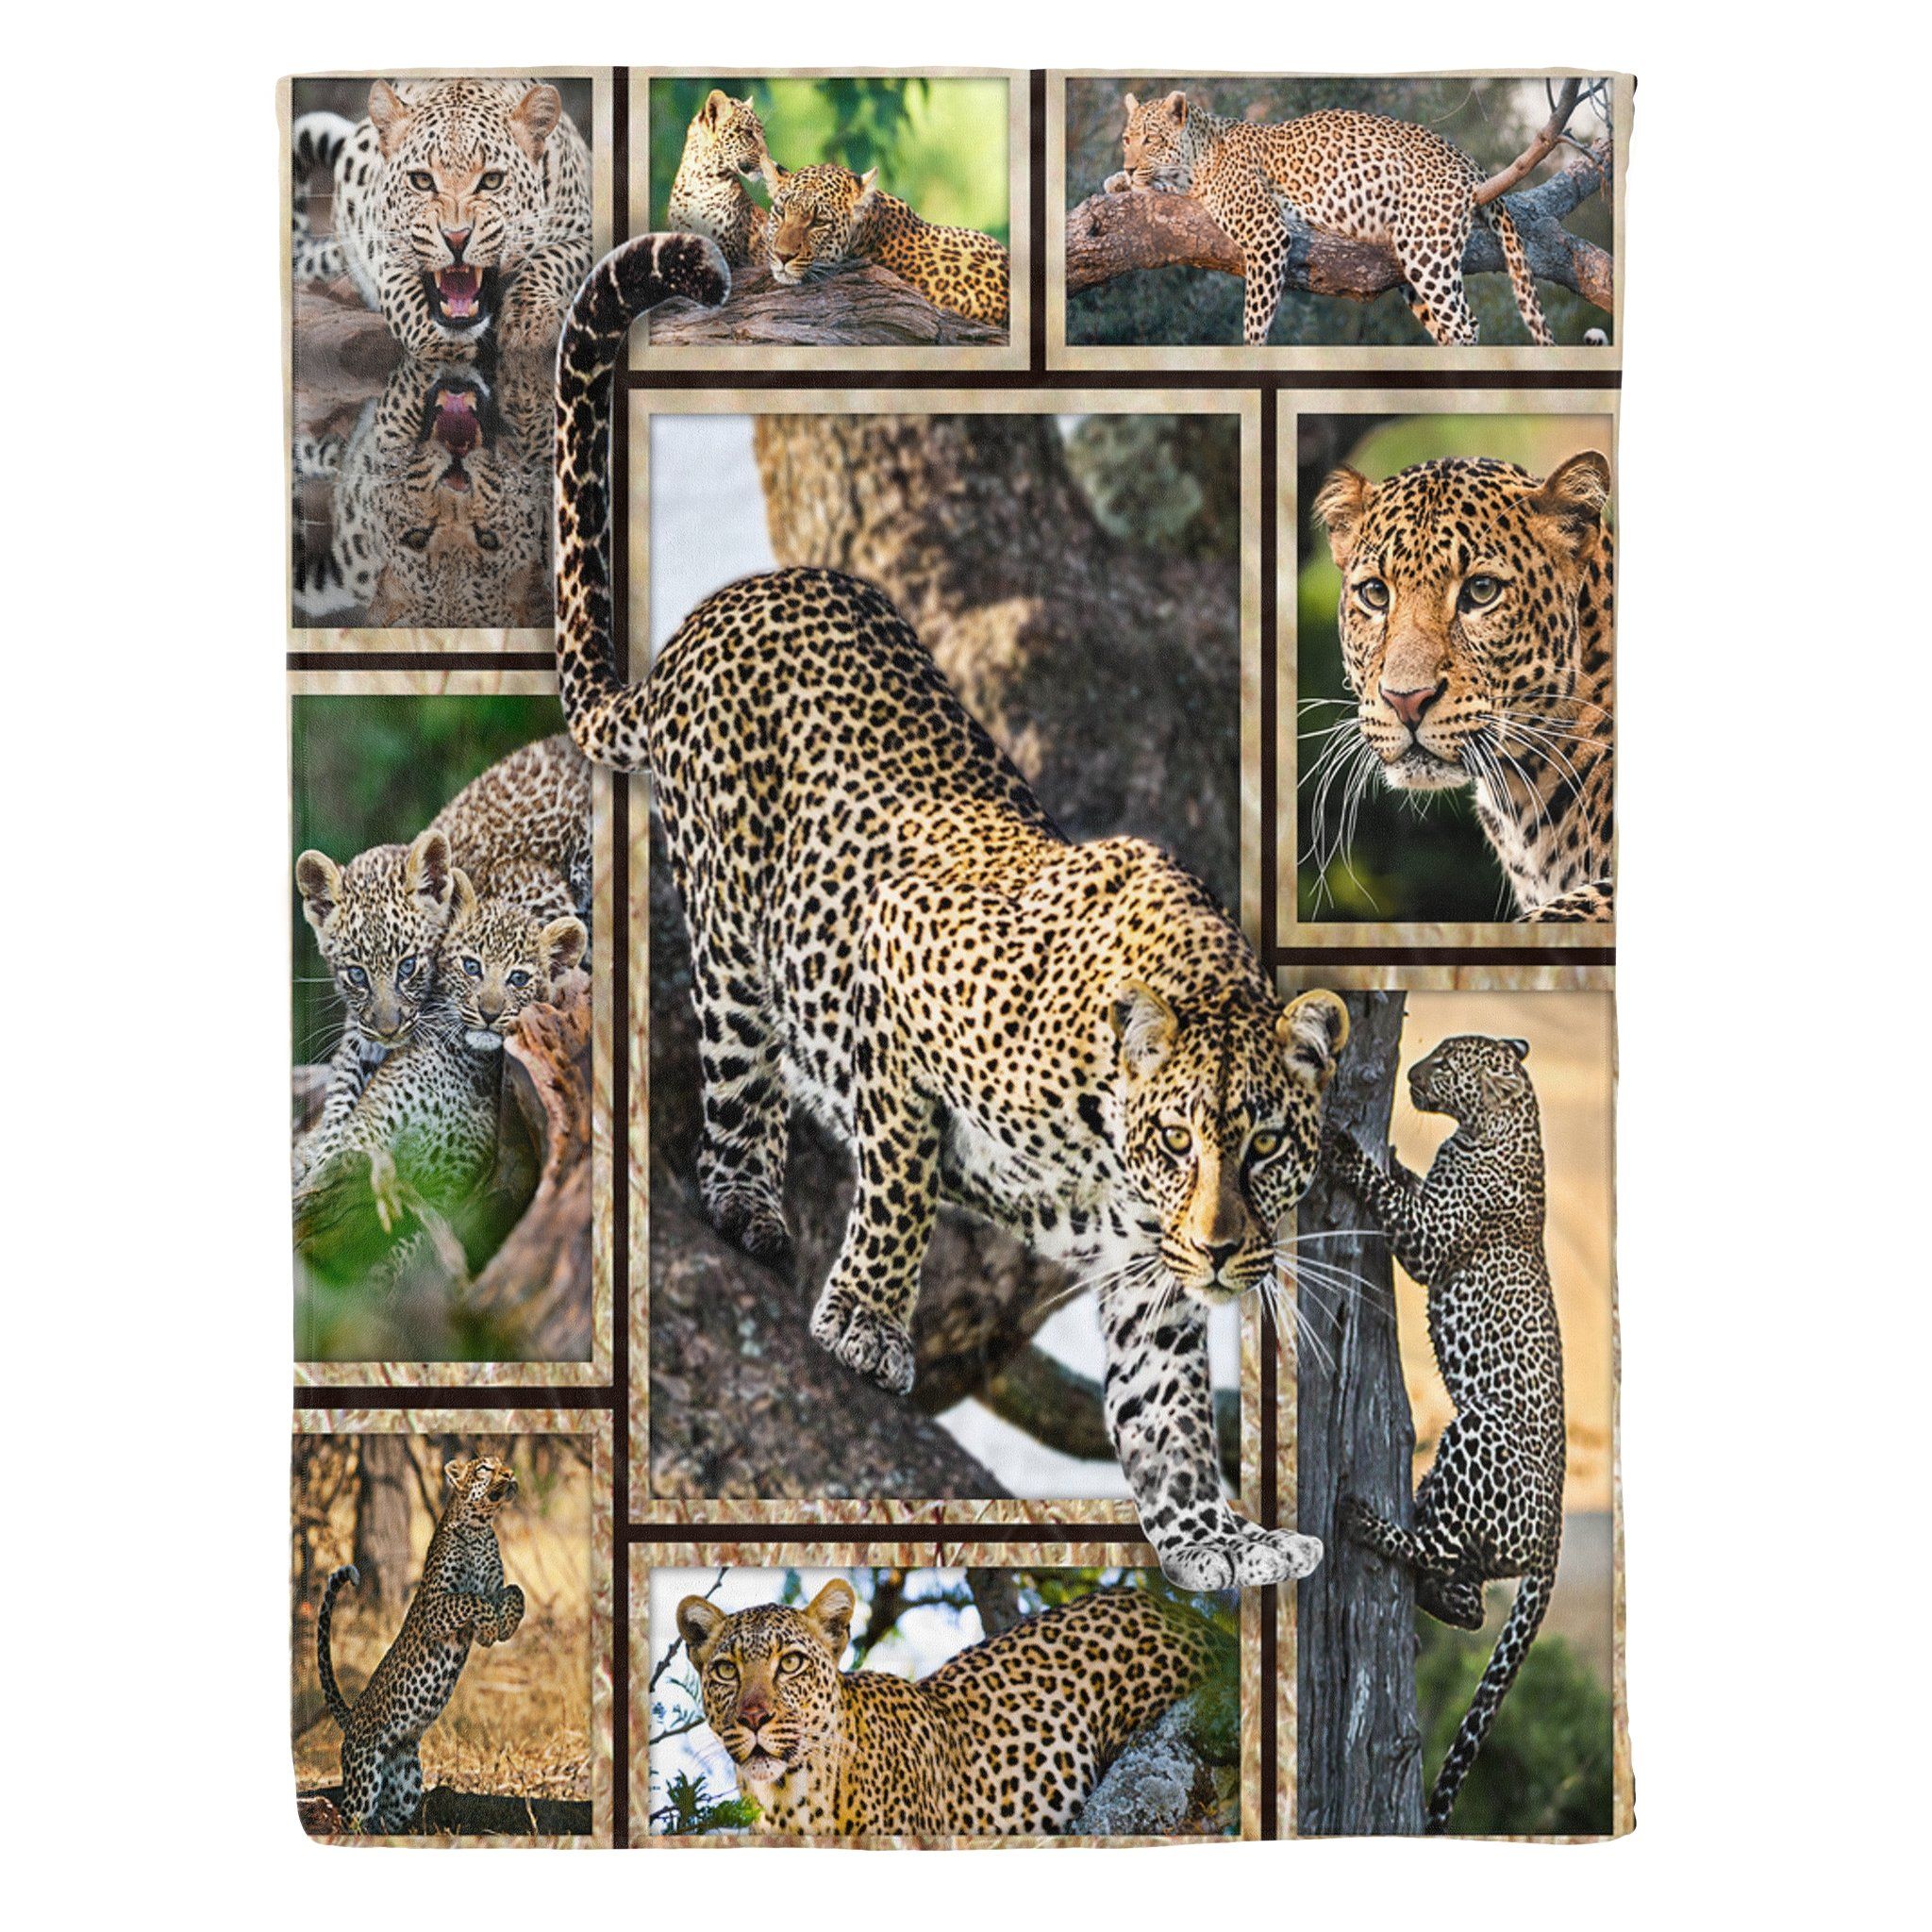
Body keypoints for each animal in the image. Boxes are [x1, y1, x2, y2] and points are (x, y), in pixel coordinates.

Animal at [291, 78, 592, 354]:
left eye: (492, 180)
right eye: (422, 181)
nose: (456, 238)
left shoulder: (583, 231)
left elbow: (551, 259)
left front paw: (528, 323)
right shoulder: (388, 255)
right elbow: (409, 301)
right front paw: (443, 350)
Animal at [316, 1455, 525, 1833]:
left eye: (503, 1465)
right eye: (486, 1468)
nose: (510, 1474)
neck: (479, 1528)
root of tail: (352, 1718)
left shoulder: (496, 1587)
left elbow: (516, 1592)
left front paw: (503, 1627)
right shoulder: (435, 1606)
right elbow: (470, 1598)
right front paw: (491, 1627)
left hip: (406, 1782)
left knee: (385, 1818)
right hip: (365, 1775)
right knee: (352, 1815)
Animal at [551, 238, 1349, 1590]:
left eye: (1263, 1145)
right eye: (1179, 1137)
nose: (1223, 1251)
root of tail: (723, 608)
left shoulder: (1144, 1277)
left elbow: (1167, 1414)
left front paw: (1213, 1543)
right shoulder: (898, 1003)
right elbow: (902, 1183)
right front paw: (864, 1323)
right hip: (731, 939)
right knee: (736, 1082)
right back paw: (748, 1203)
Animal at [1103, 91, 1554, 348]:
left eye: (1151, 139)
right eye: (1127, 139)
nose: (1128, 166)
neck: (1199, 156)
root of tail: (1468, 161)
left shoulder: (1266, 235)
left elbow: (1254, 320)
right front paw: (1118, 182)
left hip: (1426, 247)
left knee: (1465, 324)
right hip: (1407, 259)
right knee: (1446, 325)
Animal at [1323, 1034, 1565, 1833]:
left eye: (1450, 1058)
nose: (1410, 1072)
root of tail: (1552, 1542)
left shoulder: (1432, 1238)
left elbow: (1394, 1198)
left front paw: (1348, 1151)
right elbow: (1406, 1183)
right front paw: (1394, 1155)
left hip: (1472, 1435)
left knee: (1439, 1551)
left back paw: (1363, 1521)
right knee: (1469, 1598)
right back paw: (1430, 1592)